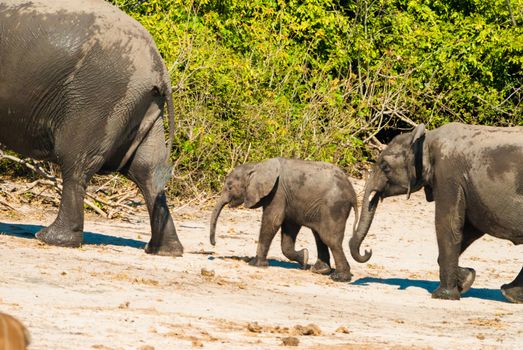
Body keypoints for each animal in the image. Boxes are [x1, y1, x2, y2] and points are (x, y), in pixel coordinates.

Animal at [0, 0, 184, 254]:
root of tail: (161, 71)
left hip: (99, 100)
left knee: (76, 162)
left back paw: (51, 239)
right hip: (143, 106)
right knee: (147, 170)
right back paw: (164, 250)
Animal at [209, 157, 360, 282]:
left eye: (229, 187)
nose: (214, 244)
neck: (257, 166)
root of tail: (352, 192)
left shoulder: (277, 193)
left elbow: (273, 221)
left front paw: (255, 264)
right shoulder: (288, 199)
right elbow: (289, 228)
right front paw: (304, 257)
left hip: (334, 207)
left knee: (330, 239)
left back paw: (339, 278)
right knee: (319, 236)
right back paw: (320, 270)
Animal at [350, 121, 523, 302]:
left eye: (385, 166)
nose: (368, 250)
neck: (426, 138)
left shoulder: (447, 174)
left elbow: (448, 224)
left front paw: (442, 296)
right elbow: (470, 228)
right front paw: (467, 279)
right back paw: (511, 295)